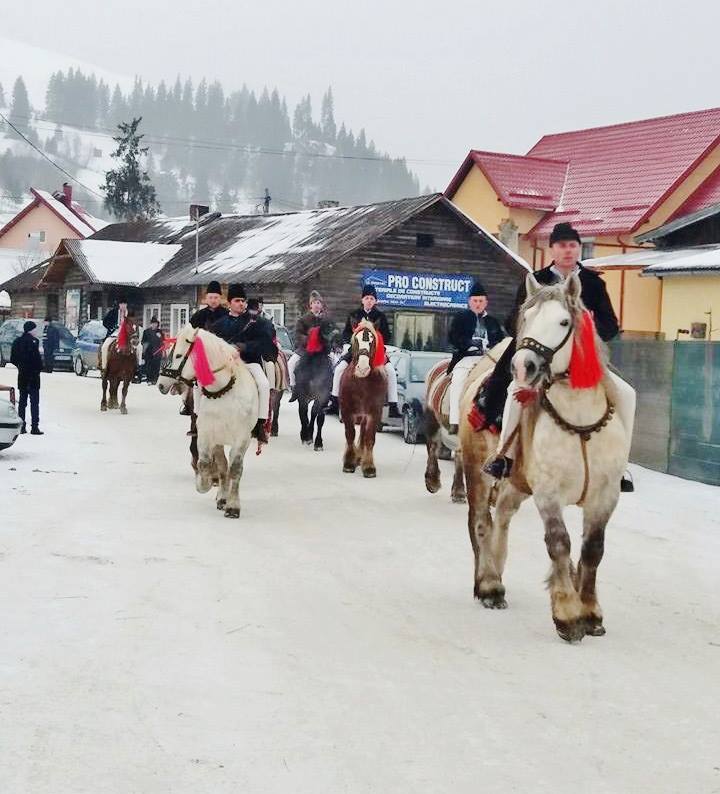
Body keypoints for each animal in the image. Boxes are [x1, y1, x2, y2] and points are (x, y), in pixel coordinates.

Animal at [294, 318, 336, 448]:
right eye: (326, 327)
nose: (337, 341)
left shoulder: (323, 397)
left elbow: (319, 418)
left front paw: (318, 442)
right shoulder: (302, 396)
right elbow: (303, 413)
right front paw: (305, 435)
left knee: (313, 413)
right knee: (304, 413)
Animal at [338, 320, 388, 476]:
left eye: (372, 342)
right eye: (356, 340)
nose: (362, 369)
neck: (362, 383)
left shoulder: (374, 413)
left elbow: (369, 438)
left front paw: (369, 466)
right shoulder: (347, 411)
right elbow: (350, 434)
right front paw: (349, 462)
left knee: (364, 434)